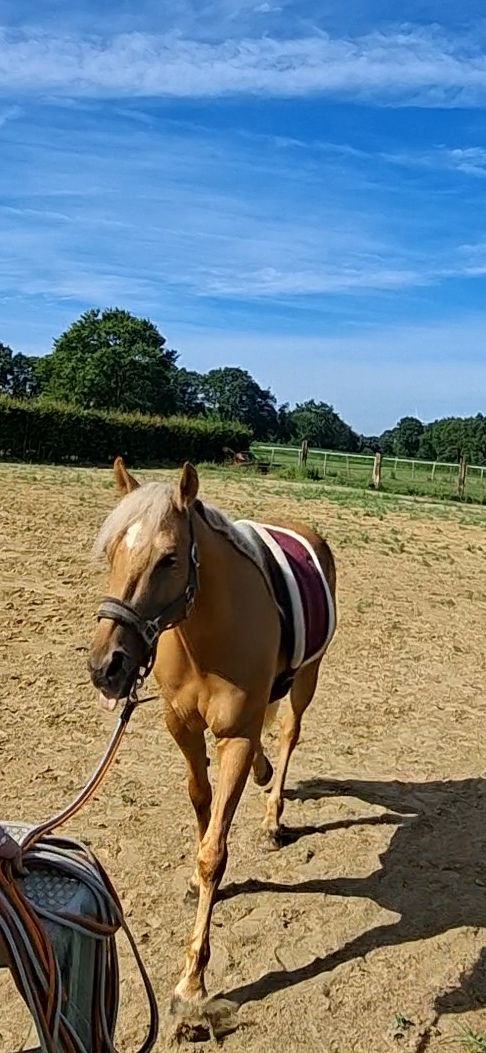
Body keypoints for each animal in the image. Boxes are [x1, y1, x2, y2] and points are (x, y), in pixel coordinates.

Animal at [88, 457, 337, 1030]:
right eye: (111, 552)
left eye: (169, 558)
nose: (106, 667)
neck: (208, 635)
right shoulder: (181, 726)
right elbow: (202, 804)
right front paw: (197, 885)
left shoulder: (235, 739)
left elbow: (215, 851)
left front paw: (192, 983)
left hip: (308, 678)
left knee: (288, 735)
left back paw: (272, 817)